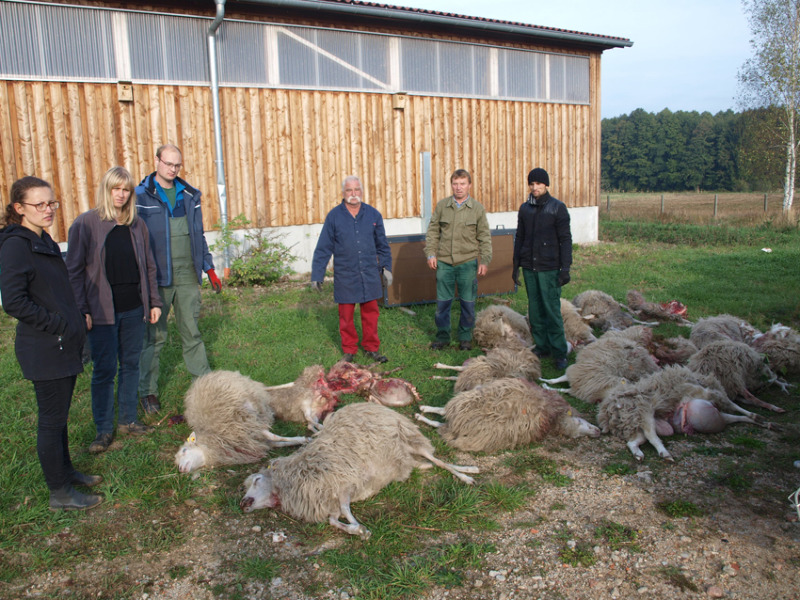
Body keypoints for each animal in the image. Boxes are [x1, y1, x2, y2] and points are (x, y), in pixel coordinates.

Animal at [175, 370, 310, 474]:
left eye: (184, 450)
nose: (181, 469)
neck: (217, 437)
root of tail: (202, 378)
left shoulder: (245, 425)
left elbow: (274, 436)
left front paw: (306, 438)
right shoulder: (255, 441)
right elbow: (279, 442)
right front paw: (302, 440)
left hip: (245, 386)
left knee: (264, 387)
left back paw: (290, 384)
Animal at [238, 404, 476, 540]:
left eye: (257, 480)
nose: (242, 503)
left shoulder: (343, 483)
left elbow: (346, 511)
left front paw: (360, 529)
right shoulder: (331, 500)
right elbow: (334, 520)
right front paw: (356, 530)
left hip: (409, 438)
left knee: (440, 461)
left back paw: (468, 473)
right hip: (403, 454)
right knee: (428, 463)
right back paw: (430, 467)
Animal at [416, 378, 596, 452]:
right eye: (580, 422)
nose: (598, 431)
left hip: (465, 407)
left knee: (441, 420)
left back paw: (422, 414)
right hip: (467, 401)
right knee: (443, 414)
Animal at [596, 366, 772, 460]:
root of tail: (610, 411)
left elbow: (734, 414)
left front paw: (762, 420)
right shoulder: (705, 394)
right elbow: (733, 405)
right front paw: (758, 416)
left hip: (634, 422)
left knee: (635, 441)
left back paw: (639, 454)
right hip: (644, 411)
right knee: (651, 435)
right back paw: (665, 453)